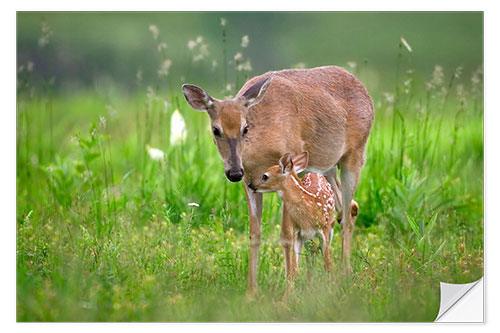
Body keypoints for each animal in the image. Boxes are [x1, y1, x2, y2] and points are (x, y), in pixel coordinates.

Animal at [182, 65, 374, 294]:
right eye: (215, 130)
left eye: (245, 128)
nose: (234, 172)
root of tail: (366, 92)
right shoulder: (250, 182)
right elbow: (254, 234)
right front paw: (251, 291)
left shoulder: (288, 170)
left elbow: (286, 236)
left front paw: (289, 285)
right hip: (327, 167)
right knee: (349, 207)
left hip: (355, 155)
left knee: (345, 214)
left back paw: (345, 273)